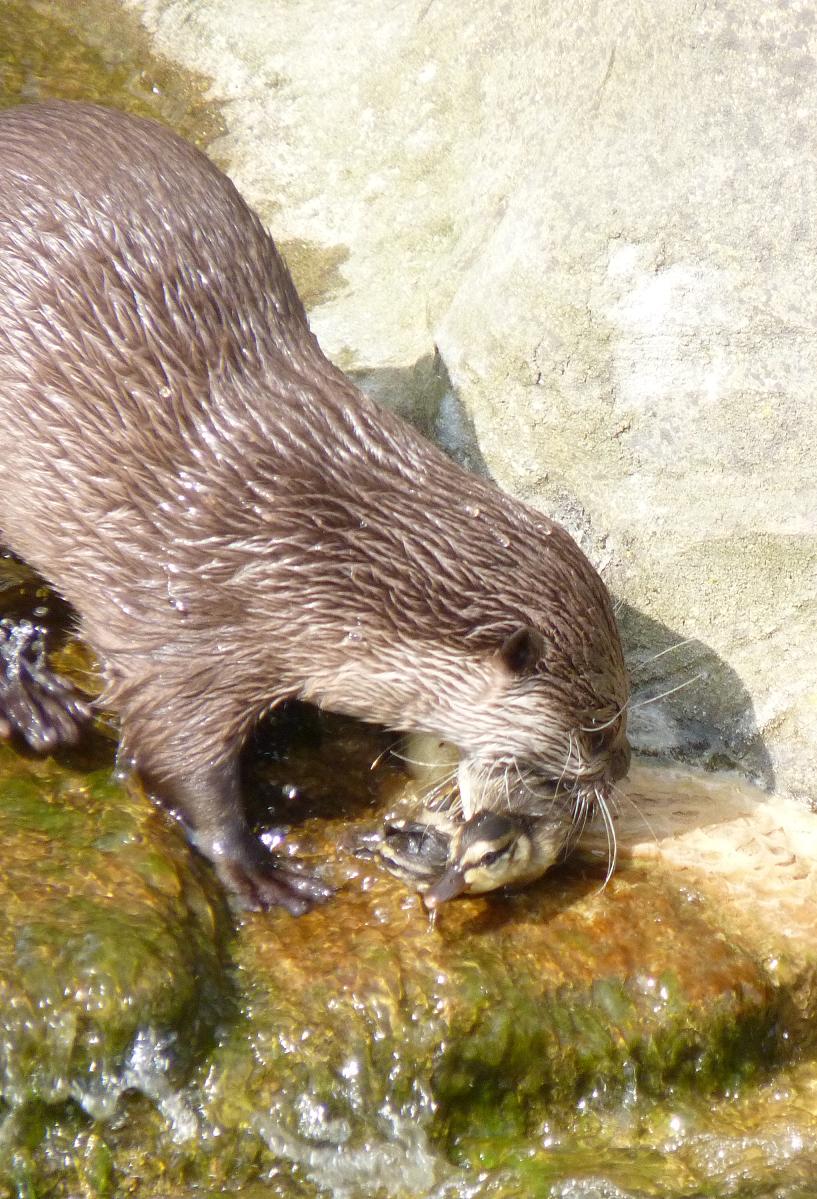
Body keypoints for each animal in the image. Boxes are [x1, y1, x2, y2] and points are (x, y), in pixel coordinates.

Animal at [0, 101, 630, 913]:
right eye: (596, 728)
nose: (622, 769)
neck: (296, 549)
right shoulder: (179, 635)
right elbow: (173, 753)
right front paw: (254, 867)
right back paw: (34, 701)